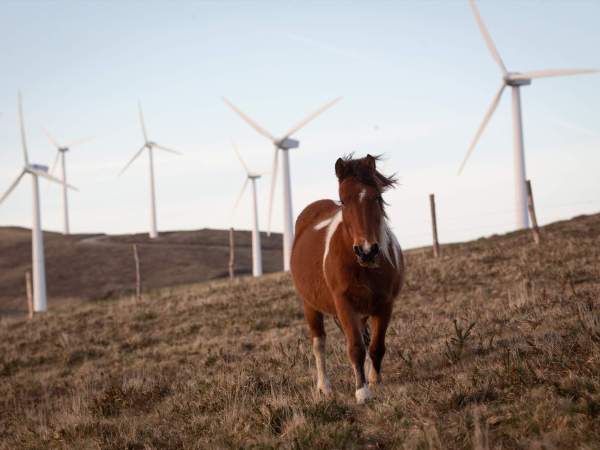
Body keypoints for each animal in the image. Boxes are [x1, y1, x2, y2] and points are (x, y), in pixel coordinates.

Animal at [290, 155, 404, 404]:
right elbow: (355, 348)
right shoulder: (344, 304)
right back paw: (324, 387)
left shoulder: (385, 304)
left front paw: (374, 380)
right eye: (342, 201)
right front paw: (362, 391)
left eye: (377, 197)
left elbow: (376, 346)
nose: (367, 251)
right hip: (310, 306)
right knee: (319, 343)